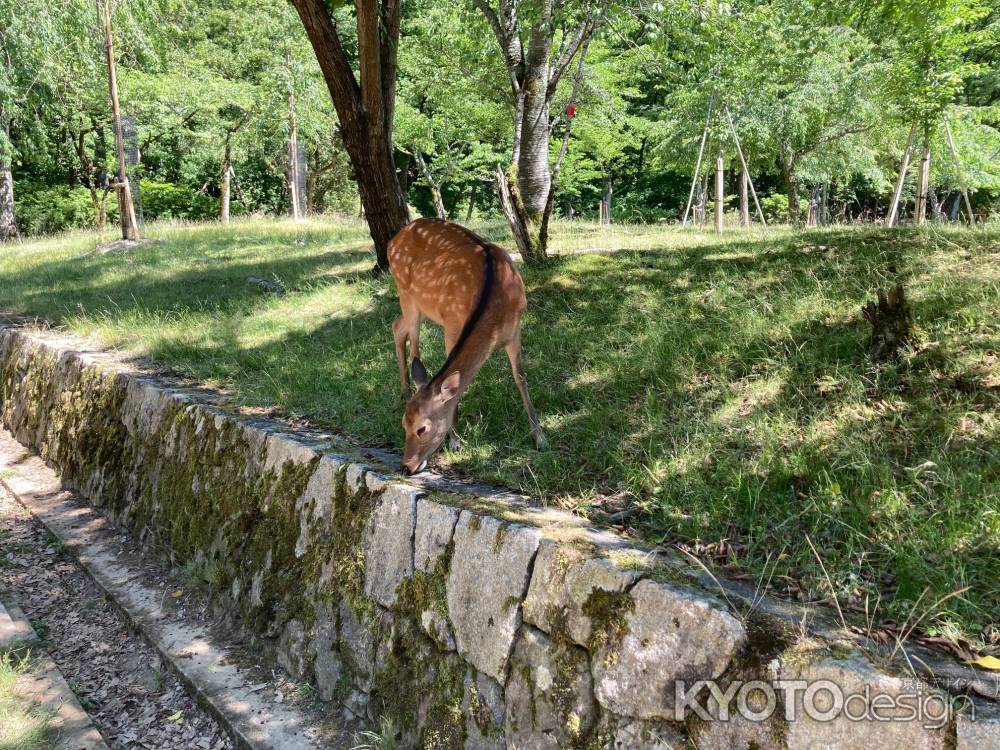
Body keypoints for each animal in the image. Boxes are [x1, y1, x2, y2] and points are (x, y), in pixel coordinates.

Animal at [388, 218, 547, 475]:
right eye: (403, 424)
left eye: (422, 428)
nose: (406, 466)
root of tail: (393, 240)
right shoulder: (453, 322)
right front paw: (455, 440)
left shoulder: (515, 330)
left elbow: (520, 377)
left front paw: (540, 438)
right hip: (407, 295)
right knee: (413, 344)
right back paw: (406, 390)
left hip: (418, 305)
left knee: (397, 327)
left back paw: (405, 390)